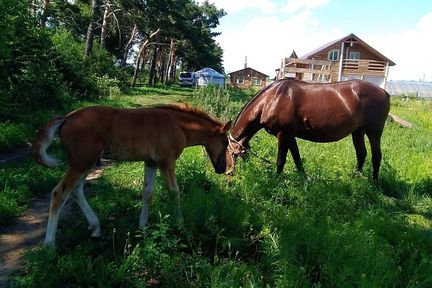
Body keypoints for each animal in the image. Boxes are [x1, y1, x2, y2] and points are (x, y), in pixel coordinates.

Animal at [33, 104, 233, 246]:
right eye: (225, 143)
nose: (222, 168)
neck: (177, 125)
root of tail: (66, 118)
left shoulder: (151, 162)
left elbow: (147, 193)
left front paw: (143, 228)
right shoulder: (166, 161)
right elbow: (174, 192)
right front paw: (181, 225)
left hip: (86, 163)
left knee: (76, 191)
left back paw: (96, 228)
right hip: (81, 163)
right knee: (60, 193)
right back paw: (49, 245)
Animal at [228, 79, 390, 180]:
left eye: (230, 153)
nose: (228, 174)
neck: (271, 99)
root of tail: (383, 91)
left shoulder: (283, 134)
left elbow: (281, 161)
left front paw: (275, 180)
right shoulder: (290, 135)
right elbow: (297, 158)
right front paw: (304, 179)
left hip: (374, 132)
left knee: (376, 157)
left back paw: (374, 184)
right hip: (357, 131)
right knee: (361, 154)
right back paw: (354, 179)